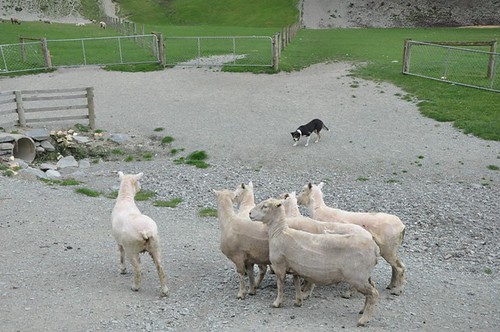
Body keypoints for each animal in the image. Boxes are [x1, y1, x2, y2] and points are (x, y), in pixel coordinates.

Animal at [250, 197, 378, 326]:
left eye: (265, 206)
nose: (250, 213)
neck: (279, 232)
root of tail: (375, 248)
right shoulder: (294, 268)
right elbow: (296, 283)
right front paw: (298, 301)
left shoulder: (279, 266)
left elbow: (280, 285)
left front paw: (277, 303)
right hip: (364, 275)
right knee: (371, 289)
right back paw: (362, 311)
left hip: (357, 277)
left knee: (373, 293)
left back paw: (363, 320)